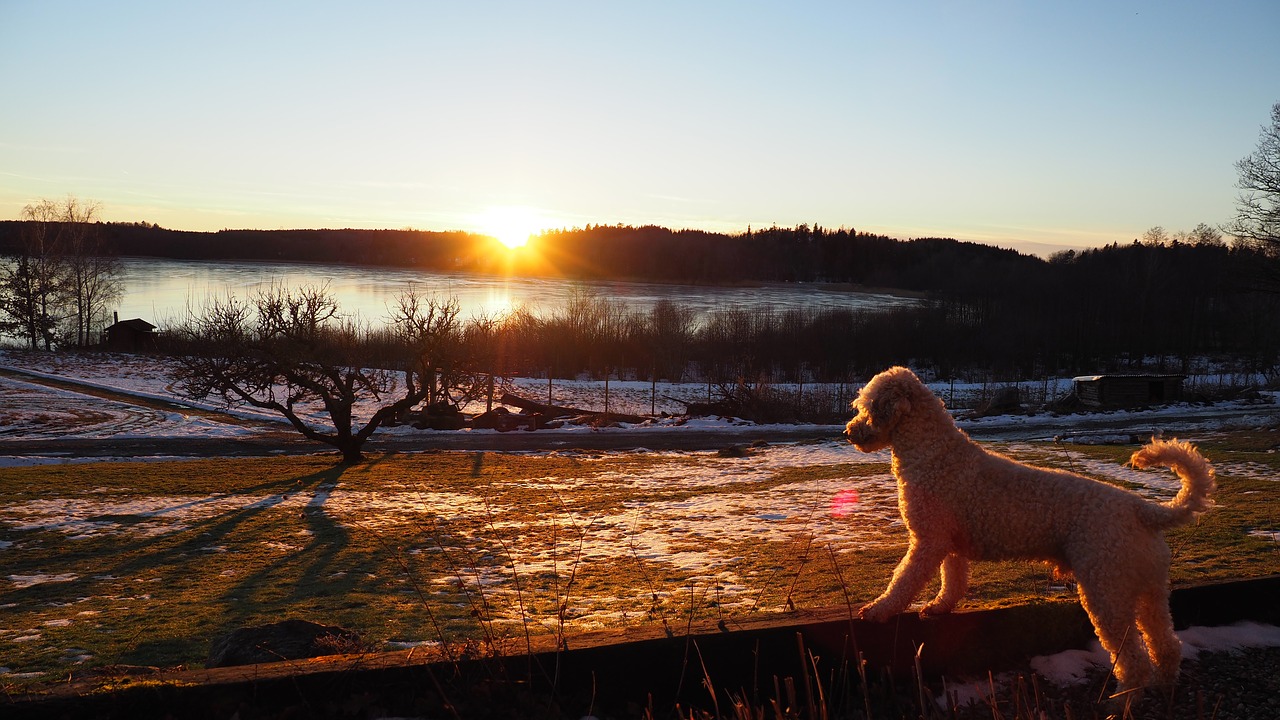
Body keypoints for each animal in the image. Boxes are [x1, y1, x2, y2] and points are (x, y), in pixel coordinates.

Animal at [844, 366, 1213, 686]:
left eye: (868, 407)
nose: (848, 432)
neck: (932, 453)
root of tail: (1142, 509)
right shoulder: (949, 543)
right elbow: (952, 580)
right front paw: (939, 607)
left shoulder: (927, 541)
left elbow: (903, 580)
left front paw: (878, 610)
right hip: (1150, 592)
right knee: (1166, 646)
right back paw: (1162, 689)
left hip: (1107, 590)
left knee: (1134, 662)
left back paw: (1119, 701)